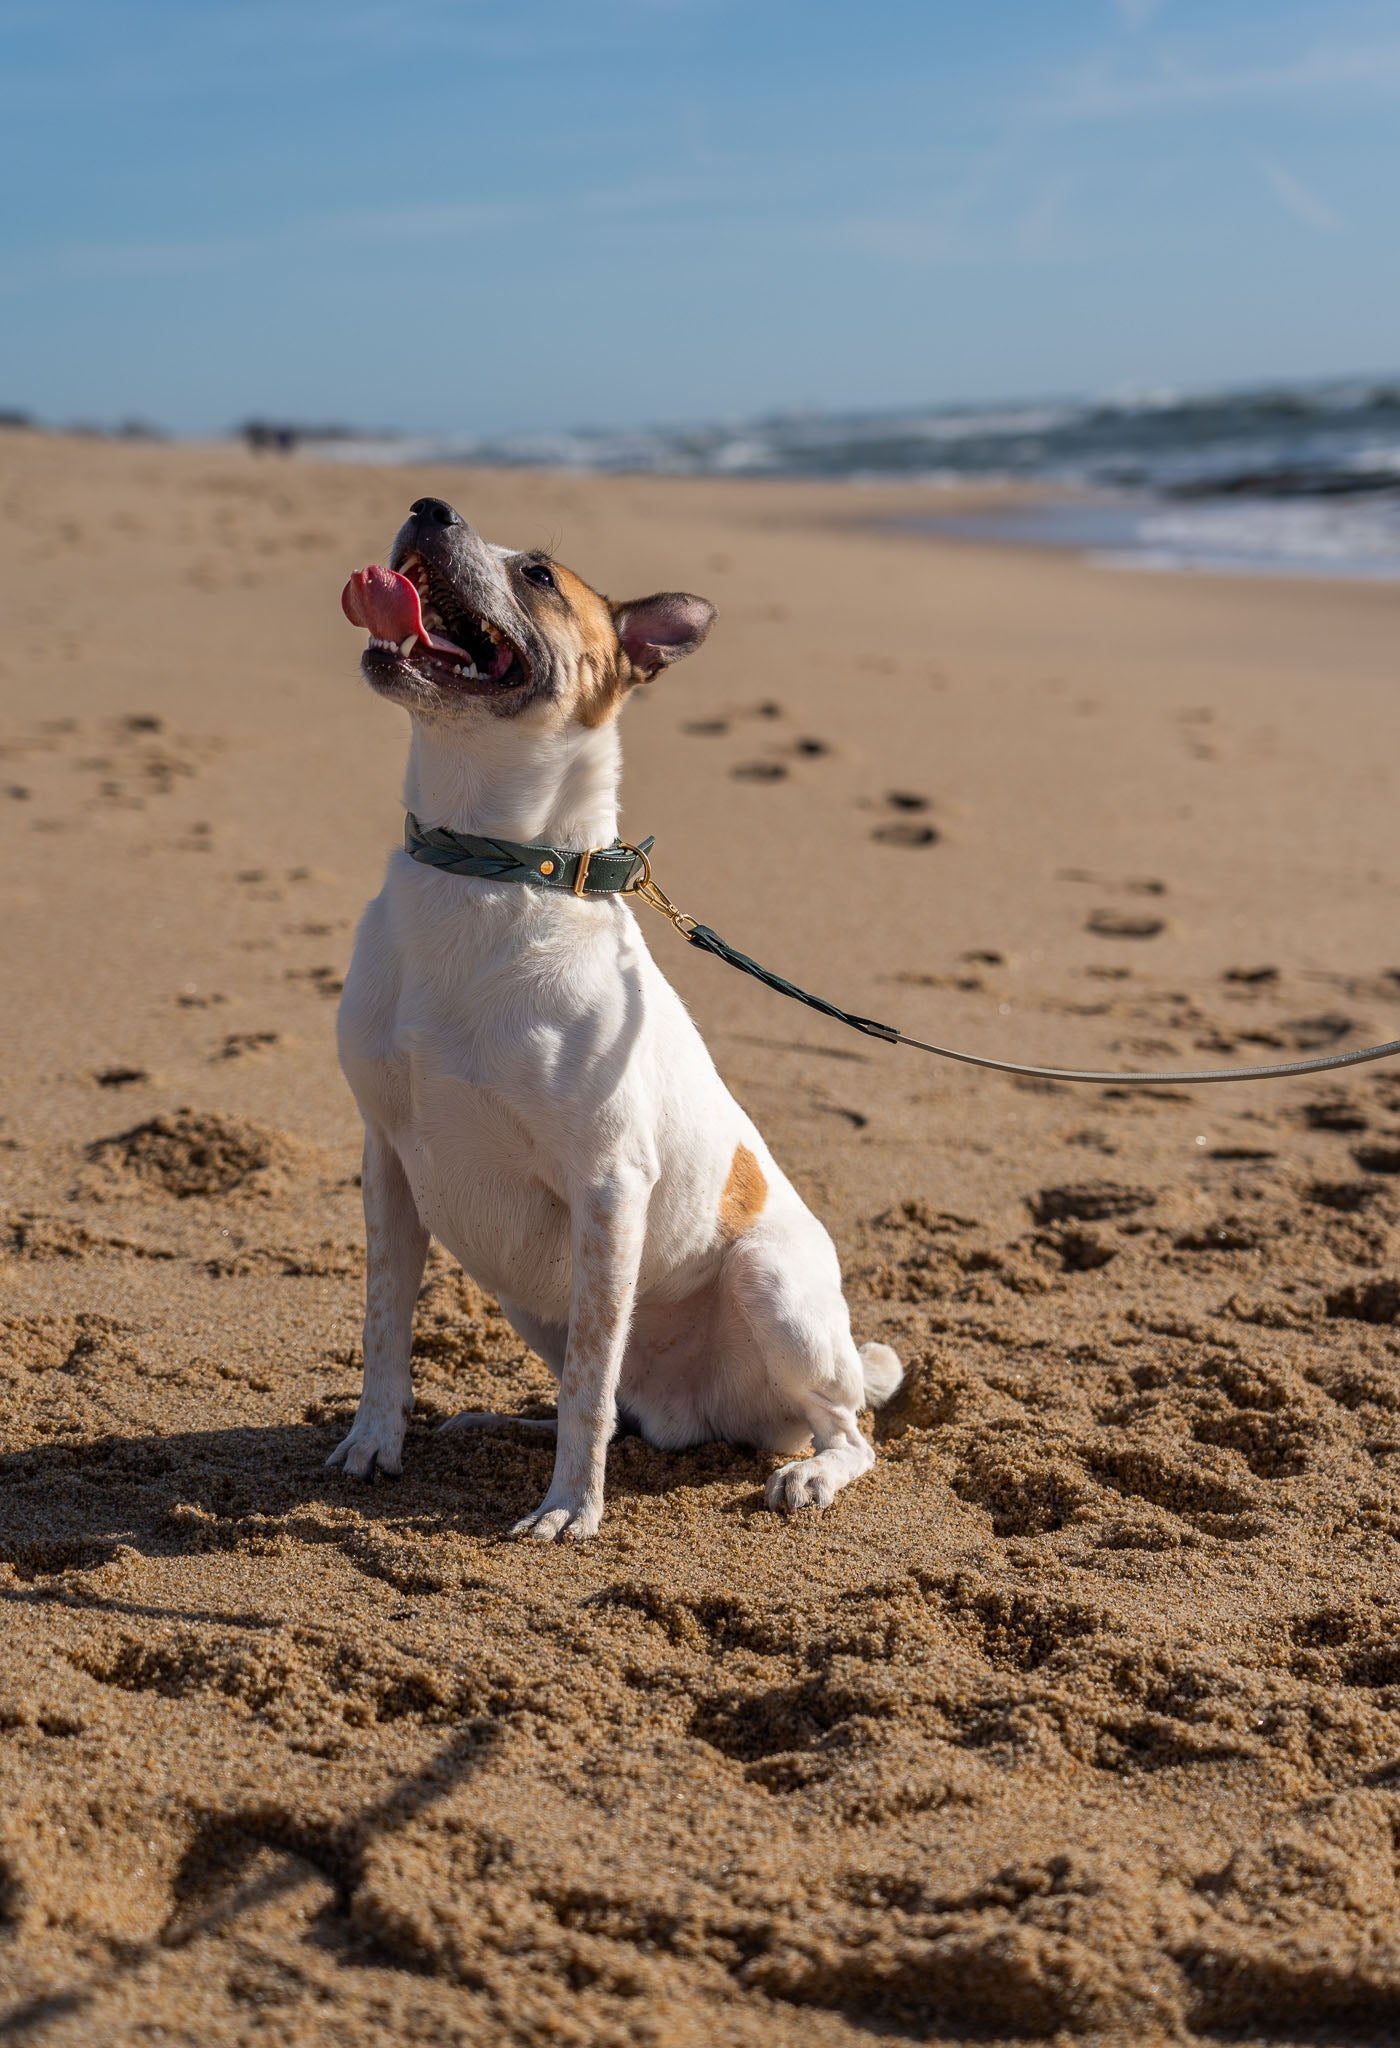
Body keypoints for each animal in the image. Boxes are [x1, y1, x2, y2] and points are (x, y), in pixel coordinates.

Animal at [331, 503, 900, 1540]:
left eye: (540, 576)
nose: (429, 509)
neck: (490, 869)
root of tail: (697, 1419)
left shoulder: (607, 1187)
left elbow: (589, 1387)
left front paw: (569, 1509)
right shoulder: (387, 1161)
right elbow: (386, 1325)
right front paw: (373, 1443)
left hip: (770, 1286)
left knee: (843, 1426)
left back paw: (811, 1473)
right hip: (532, 1305)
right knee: (622, 1406)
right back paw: (494, 1423)